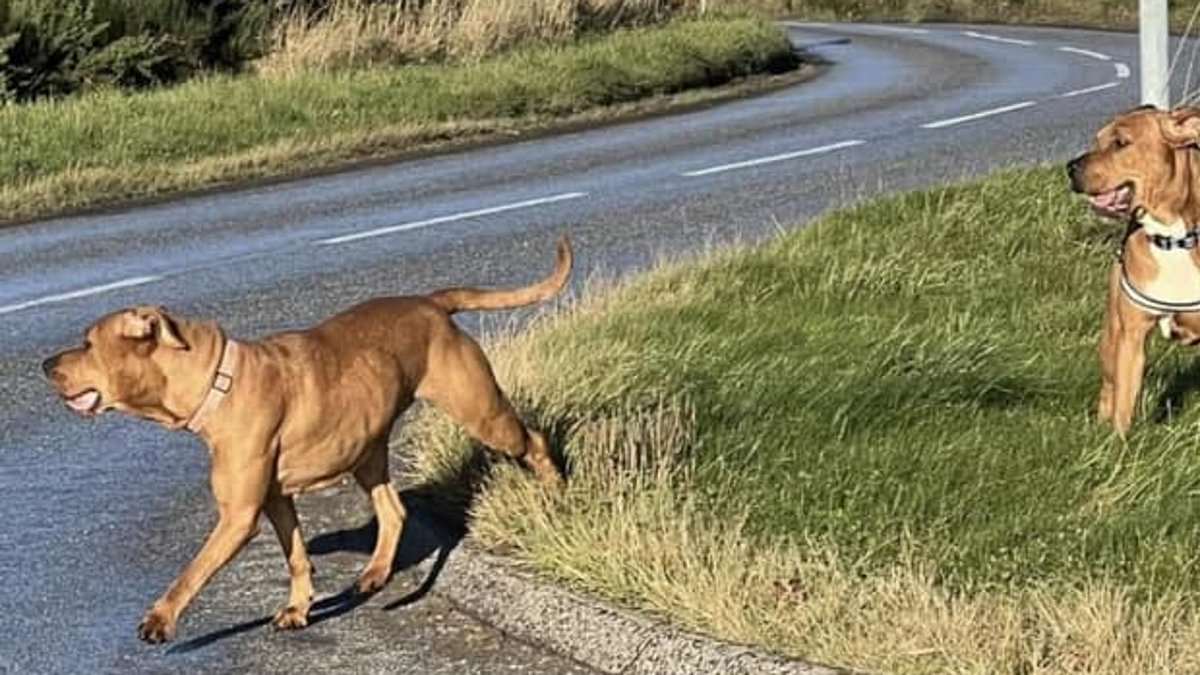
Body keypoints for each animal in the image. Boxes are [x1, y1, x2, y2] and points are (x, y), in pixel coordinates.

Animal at [42, 236, 571, 638]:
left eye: (87, 343)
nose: (45, 365)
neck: (215, 379)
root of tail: (430, 303)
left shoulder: (238, 516)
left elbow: (192, 570)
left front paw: (161, 618)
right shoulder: (276, 499)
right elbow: (296, 556)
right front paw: (299, 607)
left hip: (480, 411)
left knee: (534, 442)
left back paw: (555, 493)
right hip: (366, 448)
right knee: (392, 510)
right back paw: (373, 575)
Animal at [1075, 105, 1200, 429]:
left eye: (1121, 143)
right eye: (1097, 140)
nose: (1070, 167)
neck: (1172, 238)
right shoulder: (1132, 336)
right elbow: (1124, 404)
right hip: (1111, 336)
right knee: (1109, 388)